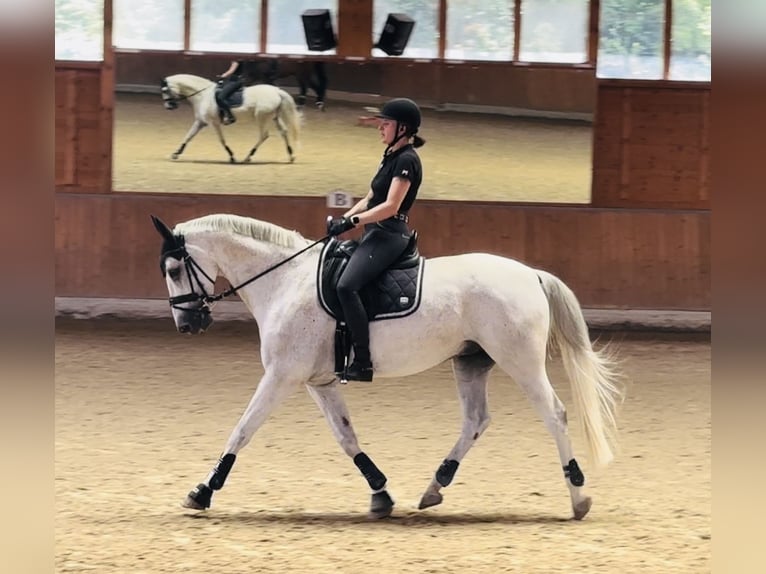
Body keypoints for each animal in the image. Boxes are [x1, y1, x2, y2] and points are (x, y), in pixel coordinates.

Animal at [150, 213, 623, 521]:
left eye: (173, 268)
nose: (187, 324)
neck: (285, 281)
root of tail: (531, 275)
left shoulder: (282, 376)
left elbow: (242, 430)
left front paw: (202, 491)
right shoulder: (319, 382)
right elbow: (346, 437)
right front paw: (381, 494)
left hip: (519, 361)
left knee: (555, 415)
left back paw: (578, 498)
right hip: (471, 362)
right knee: (476, 420)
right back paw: (434, 487)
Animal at [160, 74, 301, 164]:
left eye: (165, 90)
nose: (169, 106)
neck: (203, 95)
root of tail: (277, 91)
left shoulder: (214, 123)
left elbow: (221, 140)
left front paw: (232, 157)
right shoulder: (200, 122)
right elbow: (188, 137)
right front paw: (176, 154)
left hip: (262, 118)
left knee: (264, 135)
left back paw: (248, 157)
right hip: (274, 117)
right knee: (283, 132)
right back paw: (291, 156)